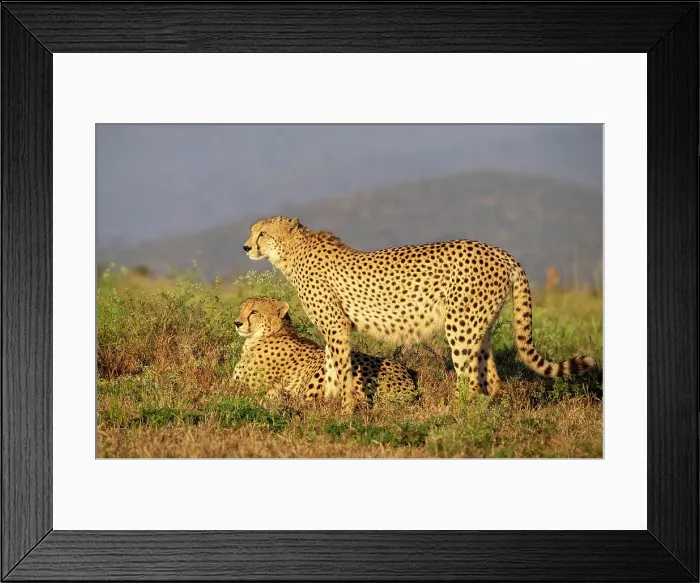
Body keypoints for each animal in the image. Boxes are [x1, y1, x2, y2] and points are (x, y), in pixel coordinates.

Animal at [243, 216, 596, 413]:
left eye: (262, 233)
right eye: (252, 232)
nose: (246, 247)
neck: (293, 252)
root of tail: (499, 251)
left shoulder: (337, 326)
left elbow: (340, 371)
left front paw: (343, 412)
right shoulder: (334, 331)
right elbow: (330, 368)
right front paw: (326, 405)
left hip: (461, 325)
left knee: (469, 378)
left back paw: (452, 415)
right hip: (481, 326)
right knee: (491, 379)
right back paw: (486, 410)